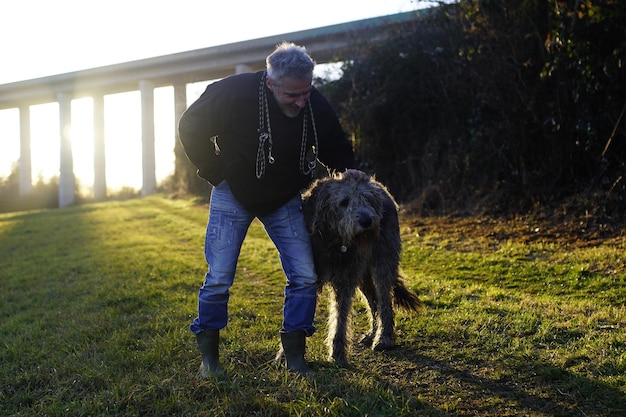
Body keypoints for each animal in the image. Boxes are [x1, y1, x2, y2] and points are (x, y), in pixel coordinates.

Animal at [302, 171, 422, 364]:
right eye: (344, 202)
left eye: (368, 200)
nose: (368, 221)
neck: (334, 240)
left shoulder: (345, 279)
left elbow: (341, 317)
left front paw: (338, 352)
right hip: (363, 275)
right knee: (373, 301)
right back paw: (373, 333)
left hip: (383, 262)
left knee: (384, 301)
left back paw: (383, 338)